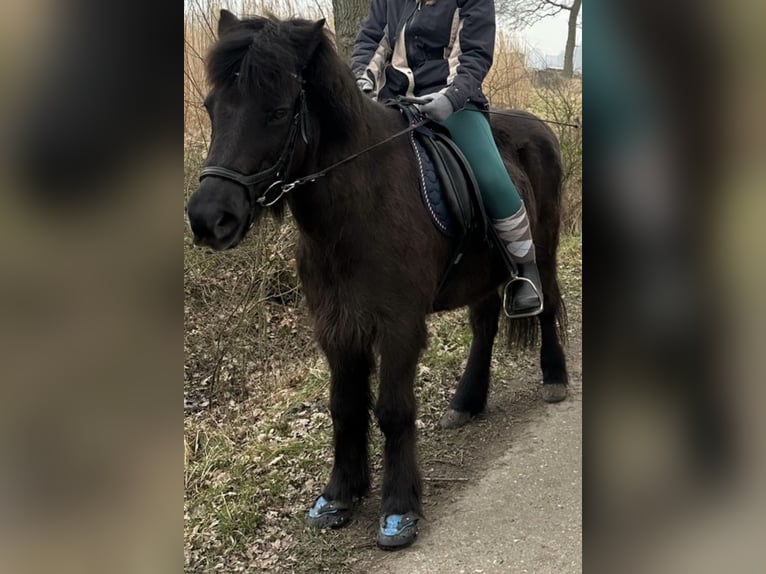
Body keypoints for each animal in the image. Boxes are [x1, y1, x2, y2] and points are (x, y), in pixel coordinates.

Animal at [186, 11, 568, 549]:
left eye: (278, 113)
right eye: (211, 107)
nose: (207, 218)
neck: (358, 206)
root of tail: (538, 126)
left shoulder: (399, 325)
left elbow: (392, 410)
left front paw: (398, 508)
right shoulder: (336, 325)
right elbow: (345, 407)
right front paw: (339, 495)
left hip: (545, 246)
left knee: (548, 300)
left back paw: (555, 377)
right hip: (483, 272)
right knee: (484, 325)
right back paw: (466, 401)